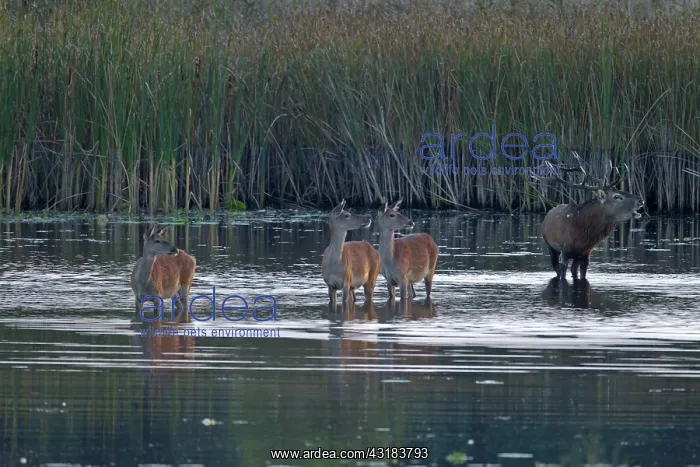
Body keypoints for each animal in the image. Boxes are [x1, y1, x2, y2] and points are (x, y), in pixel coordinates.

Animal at [535, 152, 644, 282]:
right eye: (617, 196)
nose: (640, 200)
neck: (581, 235)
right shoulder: (564, 250)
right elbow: (562, 274)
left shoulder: (586, 253)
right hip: (550, 246)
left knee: (573, 270)